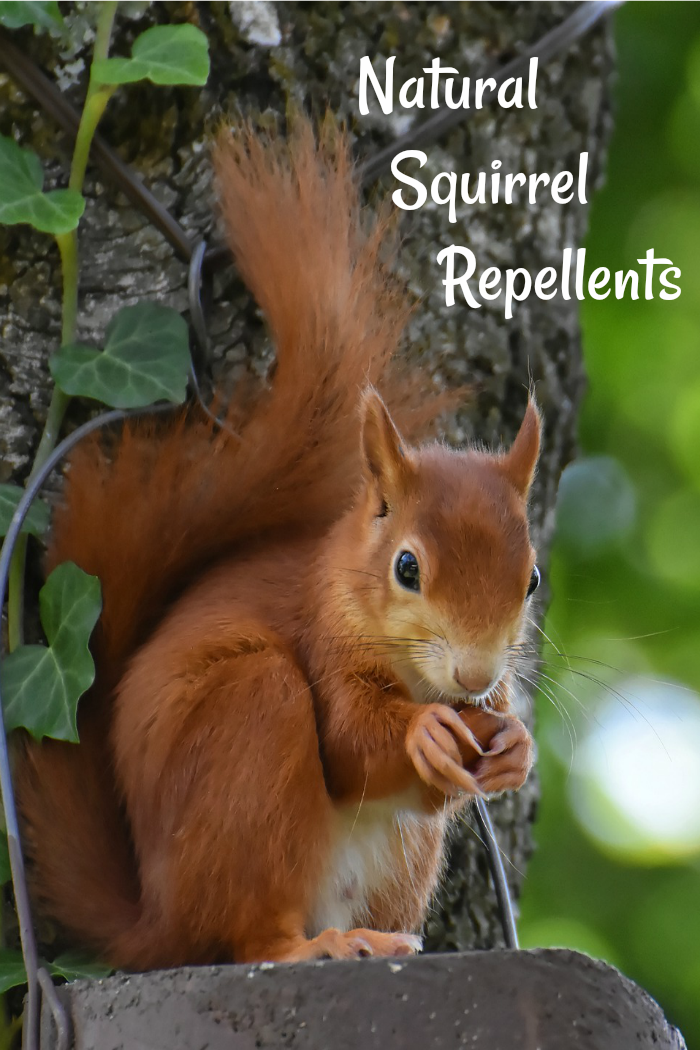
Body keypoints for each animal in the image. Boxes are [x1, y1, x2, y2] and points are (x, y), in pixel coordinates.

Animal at [16, 118, 540, 970]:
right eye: (406, 566)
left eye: (531, 582)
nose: (475, 674)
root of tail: (154, 921)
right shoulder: (320, 639)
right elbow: (350, 744)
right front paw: (421, 731)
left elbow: (448, 777)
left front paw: (516, 744)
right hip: (250, 727)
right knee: (248, 933)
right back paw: (315, 947)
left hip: (400, 861)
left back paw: (374, 937)